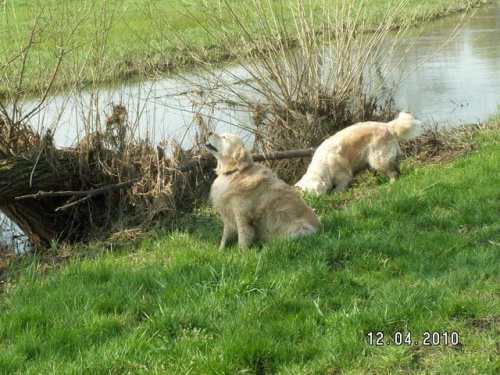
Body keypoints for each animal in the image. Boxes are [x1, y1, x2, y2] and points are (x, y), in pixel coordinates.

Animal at [294, 111, 424, 194]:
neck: (323, 166)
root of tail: (387, 126)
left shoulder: (343, 176)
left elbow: (340, 186)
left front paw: (336, 193)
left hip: (377, 159)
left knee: (393, 172)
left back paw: (391, 183)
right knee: (396, 168)